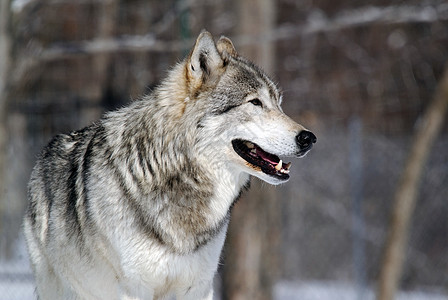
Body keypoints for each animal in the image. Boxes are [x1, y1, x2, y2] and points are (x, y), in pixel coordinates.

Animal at [21, 31, 316, 300]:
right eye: (255, 102)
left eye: (278, 103)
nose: (308, 138)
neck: (175, 172)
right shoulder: (134, 289)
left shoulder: (198, 287)